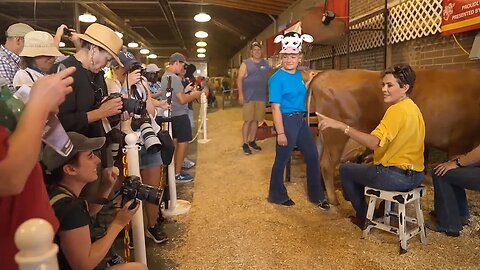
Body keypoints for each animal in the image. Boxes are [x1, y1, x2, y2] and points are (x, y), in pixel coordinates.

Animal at [312, 68, 480, 205]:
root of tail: (324, 74)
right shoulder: (459, 143)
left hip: (324, 137)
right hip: (335, 137)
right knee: (327, 163)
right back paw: (333, 200)